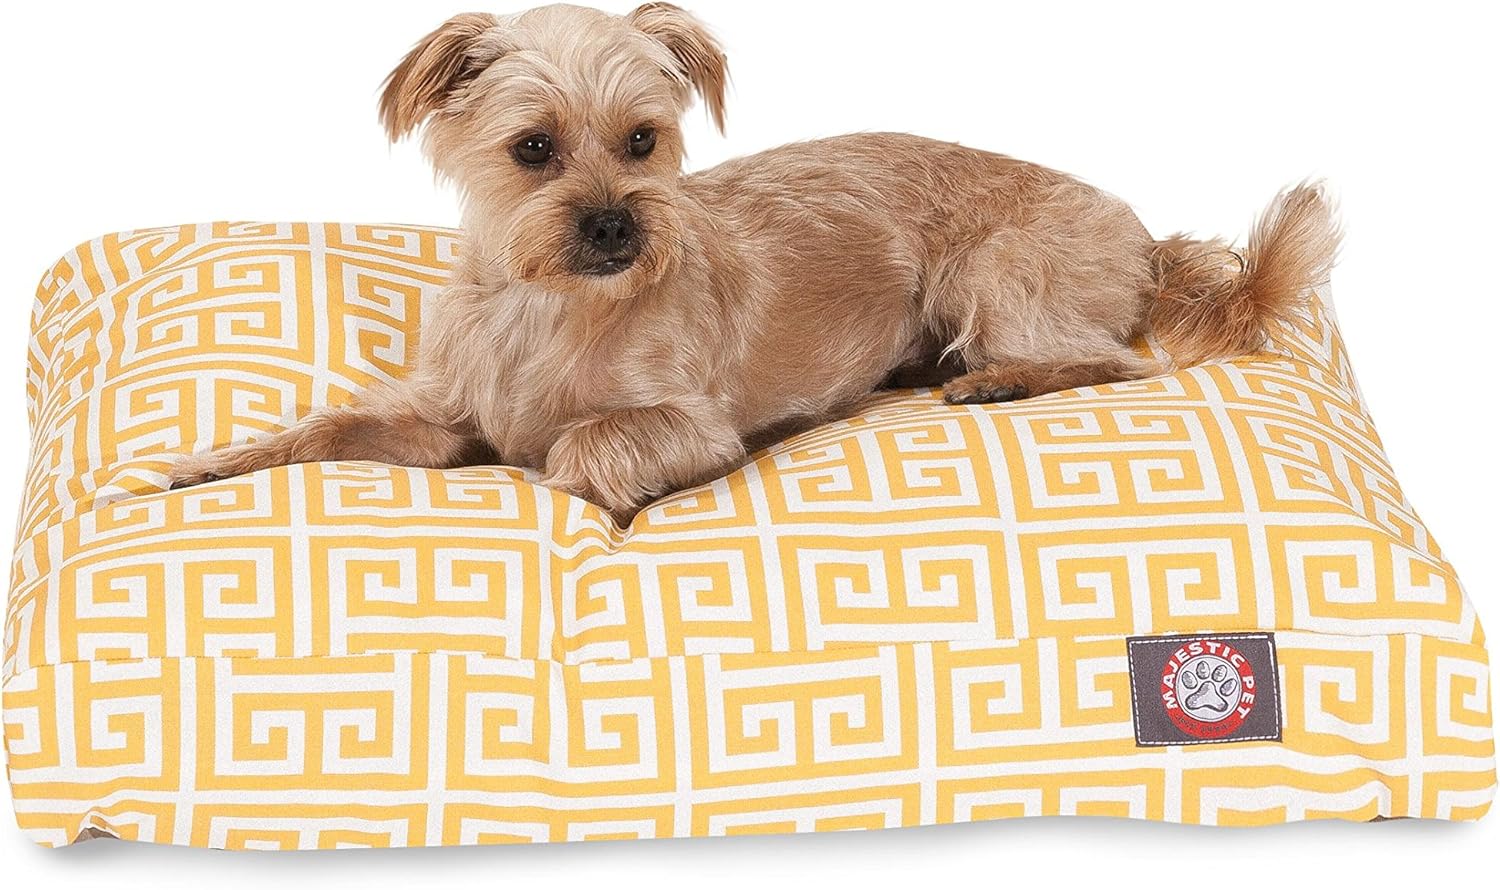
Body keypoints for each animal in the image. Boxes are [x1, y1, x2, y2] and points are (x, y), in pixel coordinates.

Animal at [169, 2, 1340, 525]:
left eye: (644, 140)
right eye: (533, 150)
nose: (615, 226)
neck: (551, 305)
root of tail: (1148, 242)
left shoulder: (689, 426)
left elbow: (584, 446)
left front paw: (600, 498)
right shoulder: (437, 419)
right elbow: (328, 427)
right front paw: (215, 462)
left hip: (996, 273)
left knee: (1118, 360)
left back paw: (1000, 379)